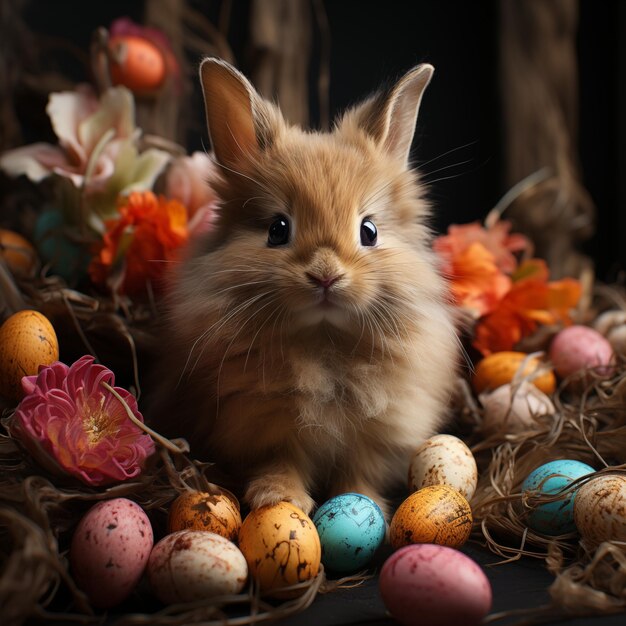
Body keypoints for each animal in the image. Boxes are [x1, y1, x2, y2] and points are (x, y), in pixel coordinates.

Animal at [149, 58, 456, 516]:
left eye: (369, 232)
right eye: (277, 229)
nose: (325, 275)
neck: (323, 339)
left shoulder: (375, 434)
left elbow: (359, 473)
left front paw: (364, 506)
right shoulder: (265, 427)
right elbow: (281, 461)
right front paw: (279, 498)